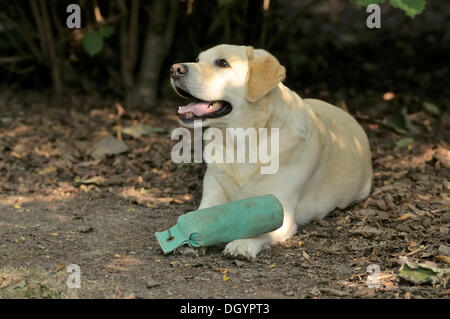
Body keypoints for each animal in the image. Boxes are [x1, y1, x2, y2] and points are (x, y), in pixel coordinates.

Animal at [170, 44, 372, 260]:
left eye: (223, 63)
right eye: (198, 60)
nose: (175, 69)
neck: (241, 142)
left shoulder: (282, 209)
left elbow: (262, 227)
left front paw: (242, 243)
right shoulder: (213, 195)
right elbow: (202, 216)